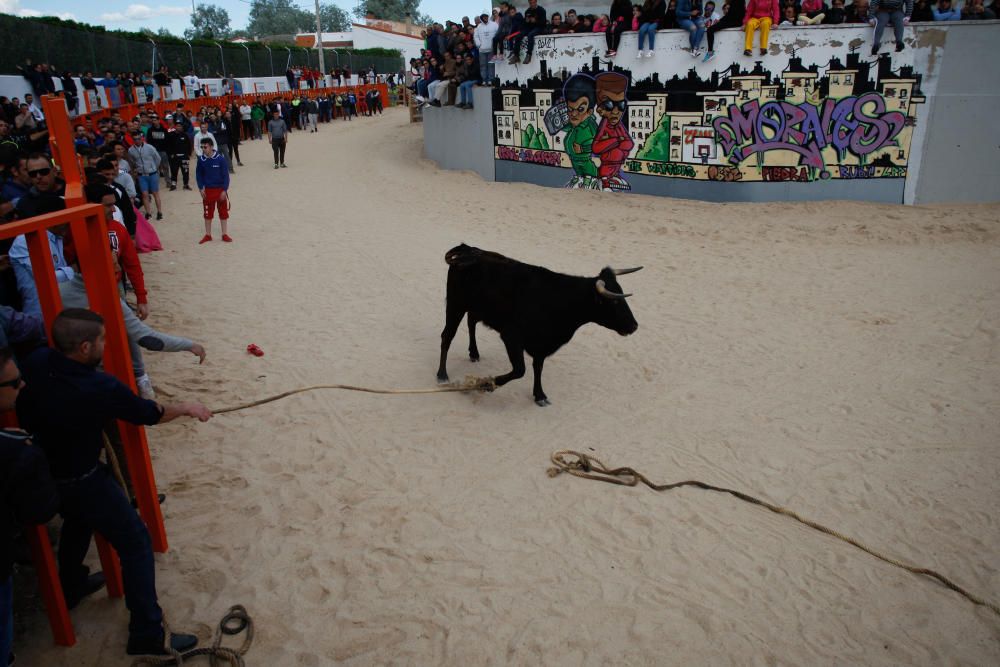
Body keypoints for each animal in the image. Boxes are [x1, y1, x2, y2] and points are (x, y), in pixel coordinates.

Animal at [436, 243, 640, 404]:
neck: (560, 301)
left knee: (471, 322)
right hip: (455, 304)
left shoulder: (543, 343)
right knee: (447, 335)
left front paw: (540, 395)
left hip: (475, 307)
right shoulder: (511, 337)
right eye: (613, 302)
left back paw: (474, 353)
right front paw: (486, 384)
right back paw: (442, 374)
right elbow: (520, 370)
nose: (634, 326)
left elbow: (538, 367)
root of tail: (466, 249)